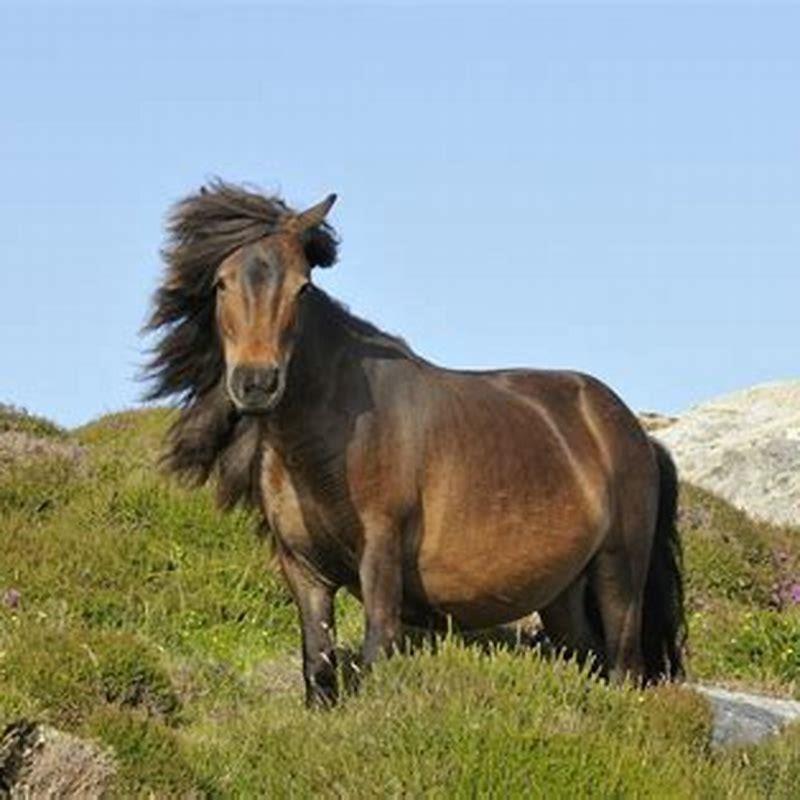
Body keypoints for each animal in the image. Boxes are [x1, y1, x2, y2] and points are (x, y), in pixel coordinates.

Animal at [145, 181, 685, 707]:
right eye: (221, 283)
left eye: (302, 287)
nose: (257, 383)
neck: (326, 445)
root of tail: (630, 430)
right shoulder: (304, 570)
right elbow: (318, 667)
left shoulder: (380, 556)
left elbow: (376, 653)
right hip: (563, 595)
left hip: (618, 574)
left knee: (624, 667)